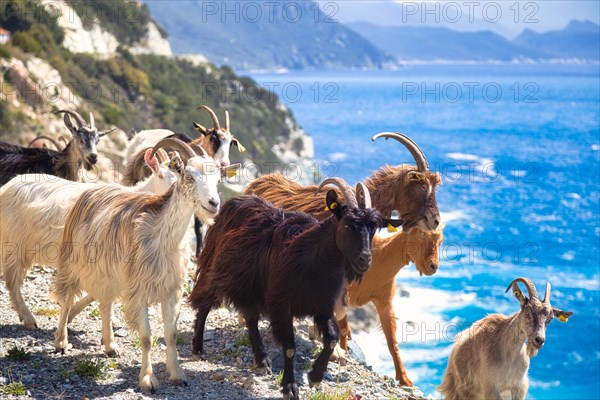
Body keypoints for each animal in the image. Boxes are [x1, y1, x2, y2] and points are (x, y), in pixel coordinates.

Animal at [52, 138, 223, 394]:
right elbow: (146, 337)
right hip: (72, 262)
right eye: (189, 176)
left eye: (218, 178)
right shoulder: (138, 289)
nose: (214, 203)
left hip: (109, 274)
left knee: (105, 304)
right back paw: (61, 342)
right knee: (66, 299)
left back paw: (110, 346)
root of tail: (93, 189)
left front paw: (177, 375)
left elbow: (171, 334)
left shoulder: (171, 290)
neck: (162, 239)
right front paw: (148, 380)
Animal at [190, 179, 400, 400]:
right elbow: (290, 347)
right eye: (347, 224)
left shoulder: (322, 305)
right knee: (205, 302)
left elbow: (332, 339)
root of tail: (235, 201)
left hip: (251, 288)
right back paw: (198, 347)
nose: (365, 259)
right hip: (217, 270)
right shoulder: (281, 304)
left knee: (250, 318)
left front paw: (315, 376)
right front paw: (290, 387)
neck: (314, 258)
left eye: (374, 228)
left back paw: (262, 361)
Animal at [438, 278, 576, 400]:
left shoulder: (518, 386)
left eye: (550, 318)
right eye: (527, 311)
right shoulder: (490, 387)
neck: (509, 354)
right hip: (456, 390)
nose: (539, 340)